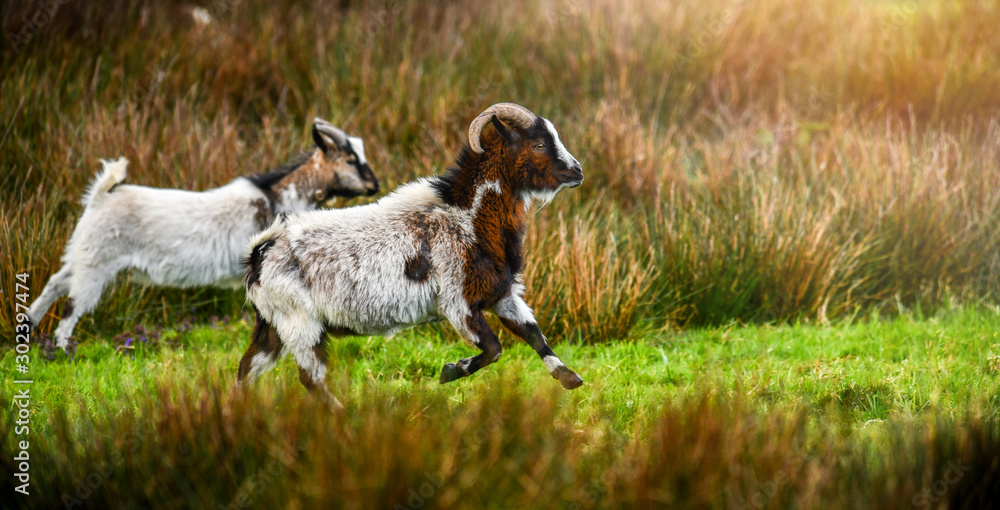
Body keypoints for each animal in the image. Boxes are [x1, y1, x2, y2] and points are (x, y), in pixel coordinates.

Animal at [28, 118, 380, 349]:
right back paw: (63, 349)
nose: (374, 185)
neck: (278, 196)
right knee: (73, 304)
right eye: (351, 159)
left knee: (55, 282)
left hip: (82, 253)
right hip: (97, 263)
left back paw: (30, 326)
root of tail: (101, 197)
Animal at [238, 103, 585, 408]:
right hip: (299, 322)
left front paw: (570, 378)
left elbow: (534, 335)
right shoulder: (457, 302)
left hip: (272, 324)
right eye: (539, 144)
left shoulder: (501, 294)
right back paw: (341, 413)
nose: (577, 172)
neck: (467, 218)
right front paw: (450, 372)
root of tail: (260, 254)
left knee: (247, 368)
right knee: (310, 378)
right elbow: (494, 348)